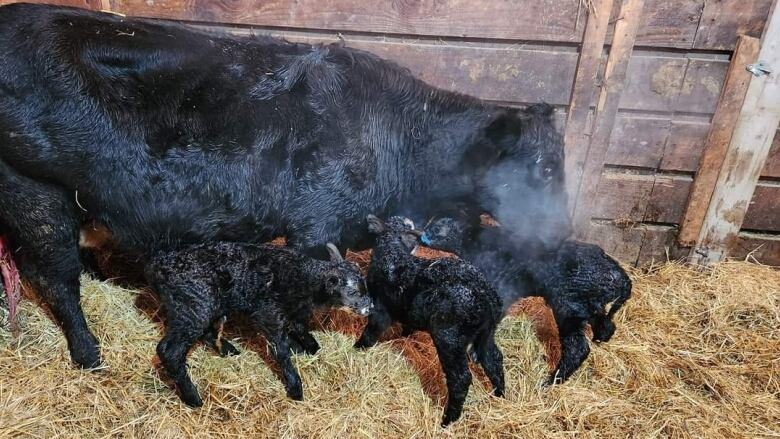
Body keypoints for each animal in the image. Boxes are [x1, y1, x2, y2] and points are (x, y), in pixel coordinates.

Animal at [1, 4, 572, 368]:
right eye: (545, 169)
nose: (562, 234)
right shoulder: (314, 223)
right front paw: (303, 343)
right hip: (33, 191)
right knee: (56, 278)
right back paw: (88, 354)